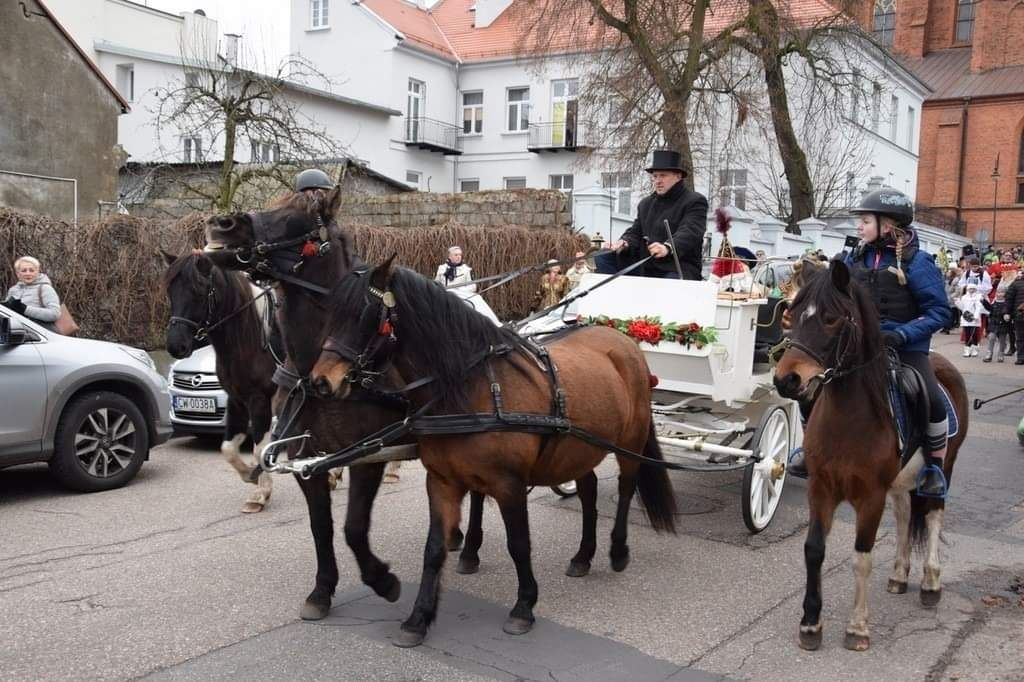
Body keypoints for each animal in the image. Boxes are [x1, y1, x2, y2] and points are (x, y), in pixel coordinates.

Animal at [161, 249, 278, 509]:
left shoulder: (260, 400)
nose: (175, 345)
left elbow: (260, 449)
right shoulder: (236, 399)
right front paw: (250, 475)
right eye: (170, 291)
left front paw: (261, 493)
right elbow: (228, 449)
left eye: (198, 291)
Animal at [311, 253, 679, 643]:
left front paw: (524, 606)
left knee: (626, 487)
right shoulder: (441, 482)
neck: (473, 389)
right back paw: (583, 555)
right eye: (331, 314)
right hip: (580, 446)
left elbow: (518, 544)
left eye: (365, 316)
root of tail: (621, 340)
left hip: (628, 441)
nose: (320, 382)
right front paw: (418, 618)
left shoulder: (509, 485)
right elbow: (434, 548)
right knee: (589, 490)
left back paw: (618, 550)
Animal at [774, 259, 966, 647]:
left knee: (933, 514)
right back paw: (899, 574)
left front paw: (857, 627)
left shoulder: (871, 496)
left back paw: (930, 581)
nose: (786, 380)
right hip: (902, 481)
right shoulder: (821, 489)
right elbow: (813, 550)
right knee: (906, 514)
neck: (849, 418)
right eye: (794, 313)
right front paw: (811, 622)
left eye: (830, 318)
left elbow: (862, 556)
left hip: (945, 467)